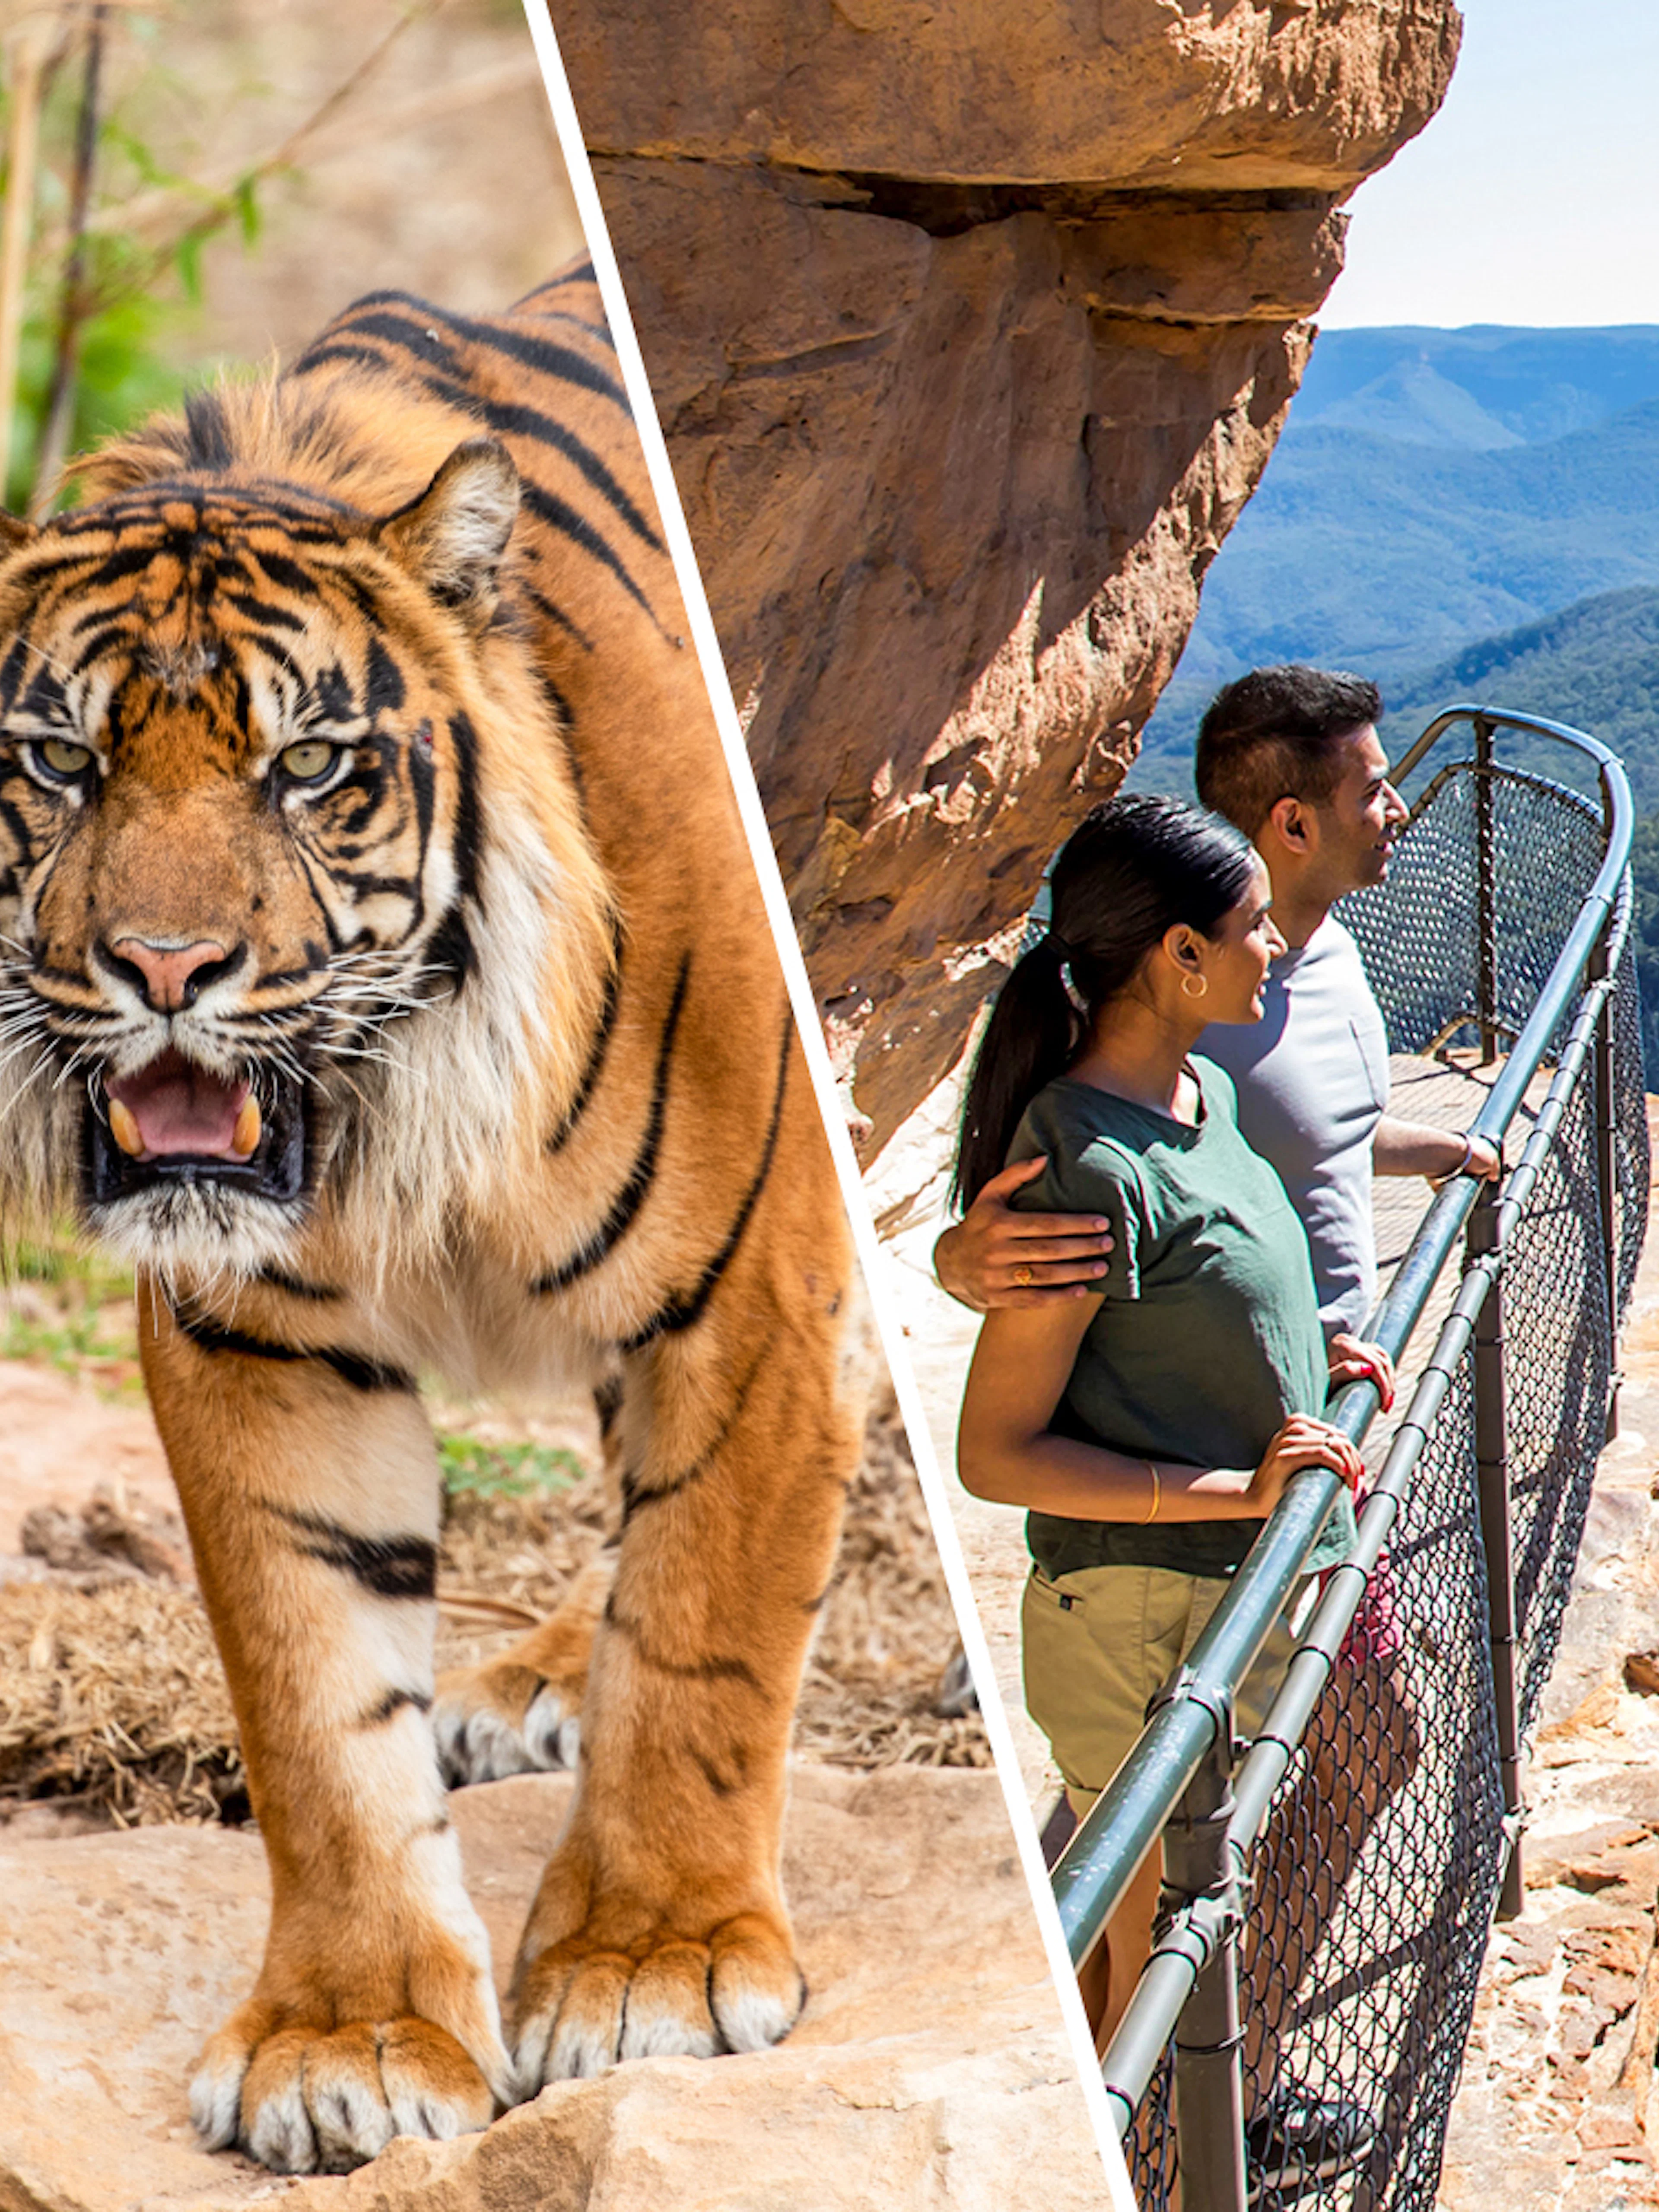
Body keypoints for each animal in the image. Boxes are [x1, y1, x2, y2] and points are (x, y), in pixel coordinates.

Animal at [0, 263, 865, 2175]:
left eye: (313, 763)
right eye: (56, 762)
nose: (163, 969)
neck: (396, 1122)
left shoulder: (753, 1295)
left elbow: (704, 1627)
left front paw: (649, 1963)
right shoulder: (258, 1345)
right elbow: (319, 1700)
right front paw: (353, 2035)